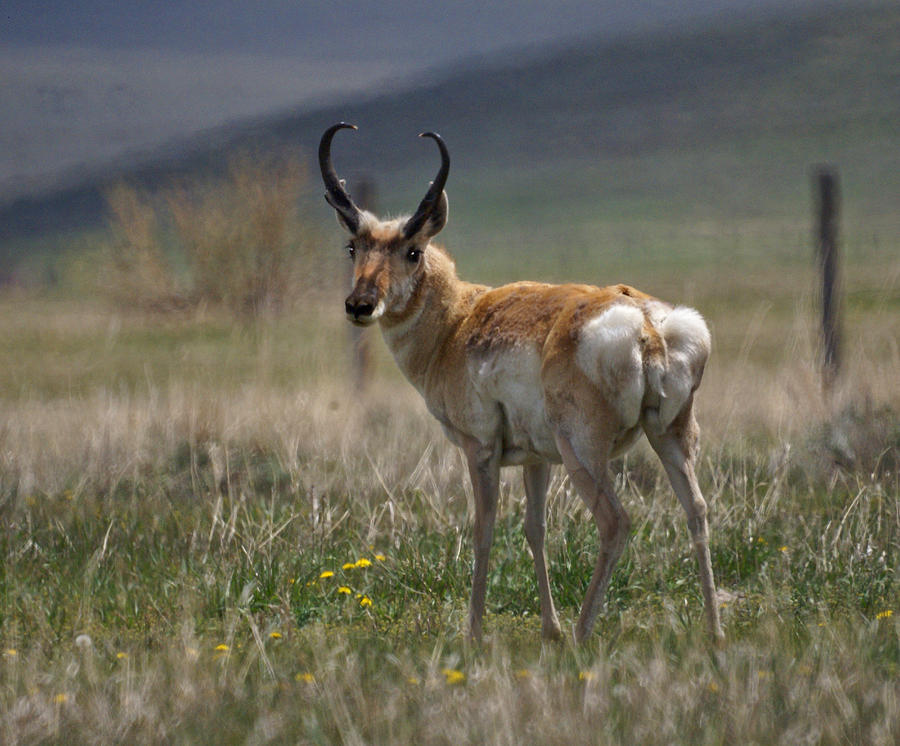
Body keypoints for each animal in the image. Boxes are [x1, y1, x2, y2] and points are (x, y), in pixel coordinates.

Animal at [318, 122, 724, 640]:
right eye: (354, 247)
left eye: (413, 251)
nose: (360, 305)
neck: (458, 322)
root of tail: (647, 322)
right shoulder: (537, 459)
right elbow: (535, 528)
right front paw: (549, 628)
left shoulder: (480, 449)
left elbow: (483, 529)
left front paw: (474, 633)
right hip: (670, 436)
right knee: (697, 510)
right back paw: (713, 632)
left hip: (583, 453)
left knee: (615, 522)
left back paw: (582, 634)